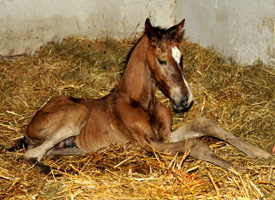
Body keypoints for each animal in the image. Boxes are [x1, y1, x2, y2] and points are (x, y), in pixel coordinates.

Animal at [24, 18, 272, 172]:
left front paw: (259, 153)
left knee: (47, 152)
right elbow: (195, 145)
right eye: (162, 60)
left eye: (181, 58)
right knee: (31, 155)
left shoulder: (165, 135)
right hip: (77, 113)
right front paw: (239, 169)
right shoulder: (149, 143)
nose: (185, 100)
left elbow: (205, 124)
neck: (141, 102)